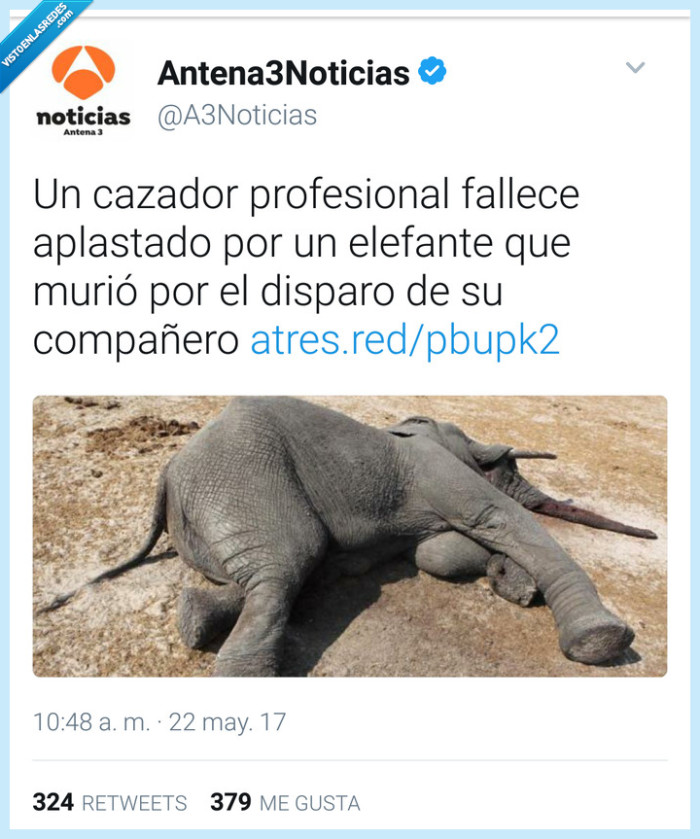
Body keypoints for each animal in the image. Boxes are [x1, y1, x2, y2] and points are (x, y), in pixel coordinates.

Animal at [41, 396, 657, 676]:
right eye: (506, 468)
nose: (650, 534)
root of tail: (167, 471)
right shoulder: (435, 470)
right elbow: (498, 519)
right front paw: (600, 642)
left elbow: (438, 553)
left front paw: (516, 587)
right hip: (246, 478)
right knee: (287, 566)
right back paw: (245, 673)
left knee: (282, 573)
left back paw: (195, 620)